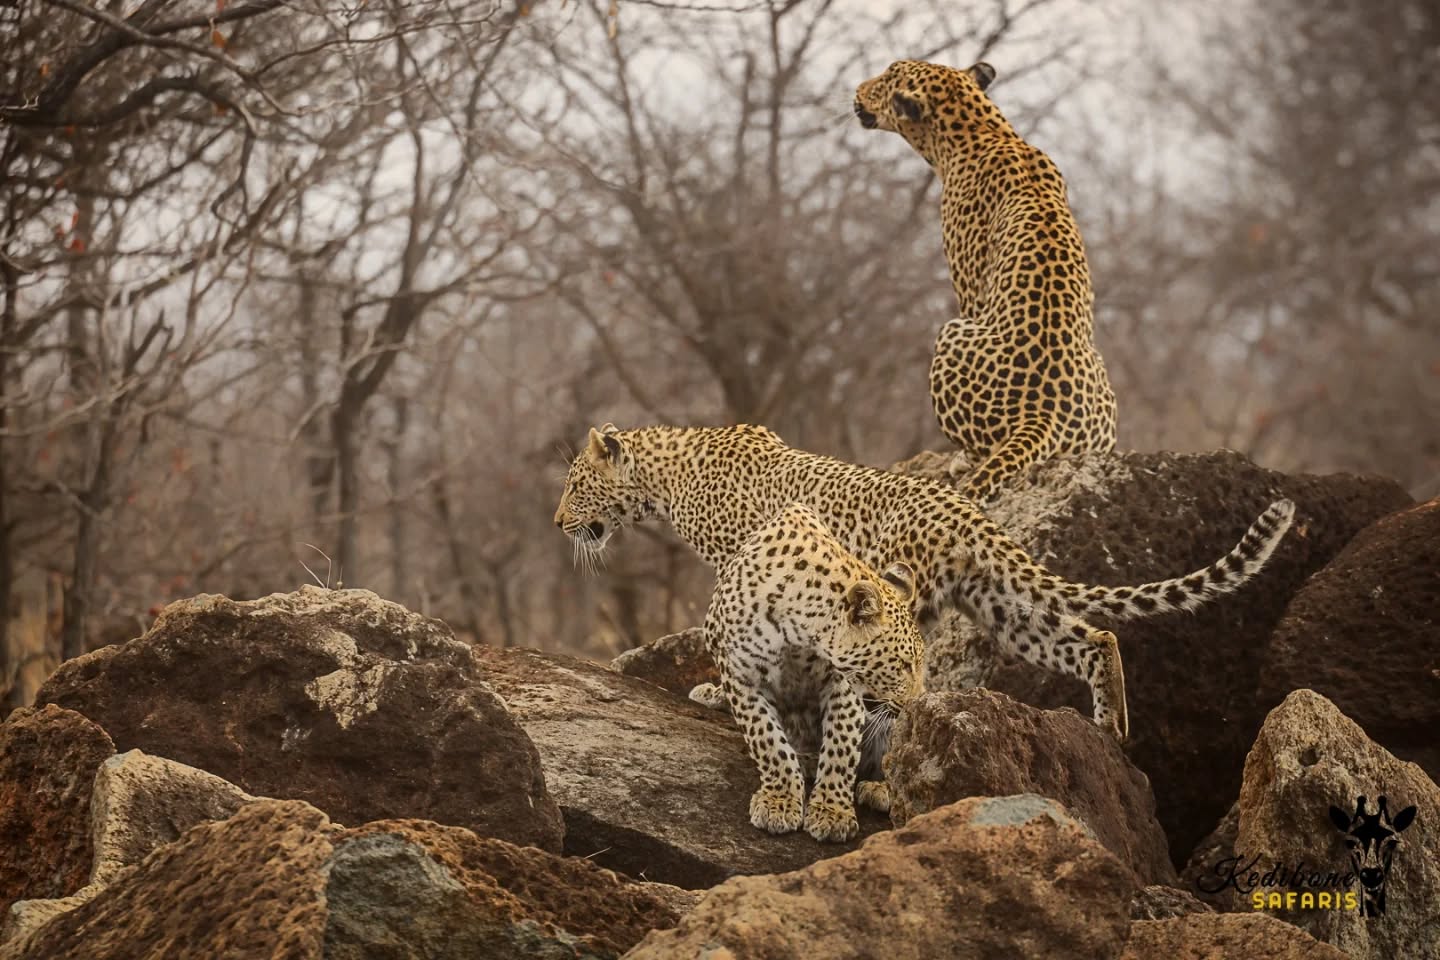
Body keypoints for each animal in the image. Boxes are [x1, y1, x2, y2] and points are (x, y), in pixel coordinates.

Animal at [554, 423, 1296, 744]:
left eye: (575, 482)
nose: (558, 522)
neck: (663, 475)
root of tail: (966, 510)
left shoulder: (743, 555)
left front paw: (713, 688)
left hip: (900, 593)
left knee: (907, 674)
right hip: (1002, 607)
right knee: (1094, 638)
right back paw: (1110, 730)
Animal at [688, 501, 923, 842]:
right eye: (904, 664)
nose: (917, 704)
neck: (798, 631)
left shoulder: (843, 686)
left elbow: (841, 748)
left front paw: (832, 812)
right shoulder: (742, 676)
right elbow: (768, 740)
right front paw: (780, 800)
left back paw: (879, 788)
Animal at [855, 59, 1118, 505]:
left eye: (887, 76)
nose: (858, 88)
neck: (984, 130)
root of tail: (1044, 413)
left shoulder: (969, 290)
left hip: (951, 332)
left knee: (983, 448)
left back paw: (959, 460)